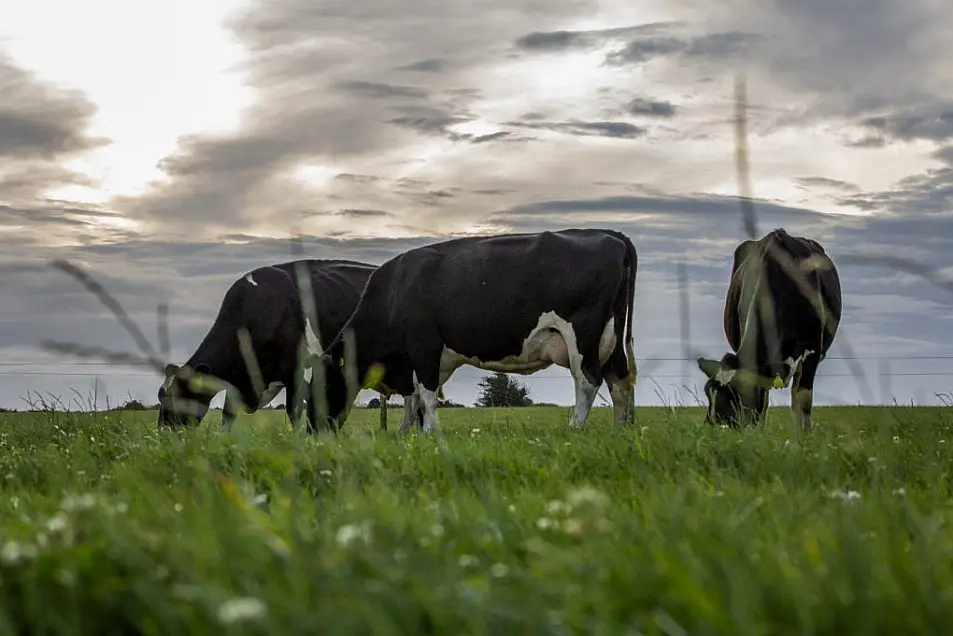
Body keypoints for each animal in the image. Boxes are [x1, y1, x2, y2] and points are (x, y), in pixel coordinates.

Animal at [156, 258, 416, 432]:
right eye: (161, 395)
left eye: (181, 394)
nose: (163, 432)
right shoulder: (239, 379)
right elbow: (228, 416)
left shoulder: (297, 371)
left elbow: (294, 413)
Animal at [314, 227, 640, 432]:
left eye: (320, 386)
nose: (313, 431)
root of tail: (612, 235)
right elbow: (417, 398)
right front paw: (409, 434)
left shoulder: (424, 346)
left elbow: (426, 396)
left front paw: (429, 433)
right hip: (611, 338)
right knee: (619, 381)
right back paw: (619, 430)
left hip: (583, 334)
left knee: (588, 380)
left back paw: (574, 428)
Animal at [692, 226, 840, 430]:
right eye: (708, 393)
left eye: (739, 393)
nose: (714, 429)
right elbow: (762, 402)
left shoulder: (812, 349)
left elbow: (803, 400)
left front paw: (804, 435)